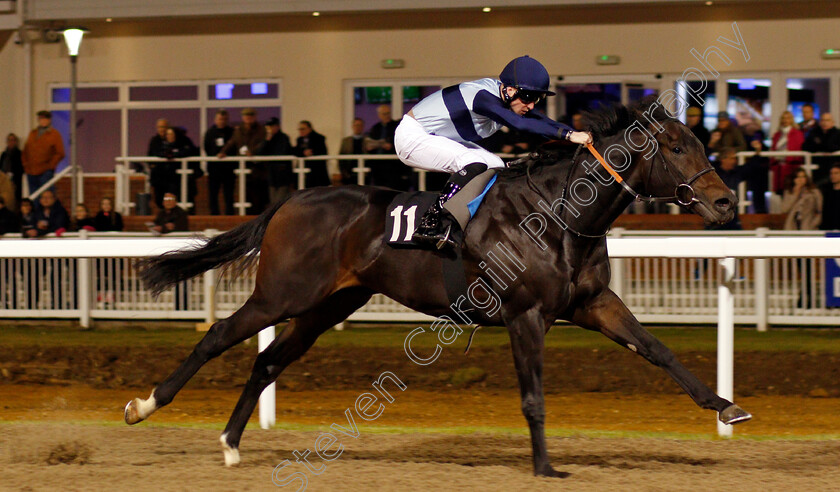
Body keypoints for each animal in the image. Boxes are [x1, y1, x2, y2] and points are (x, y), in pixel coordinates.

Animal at [123, 98, 748, 478]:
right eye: (676, 148)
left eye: (701, 143)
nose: (724, 204)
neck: (560, 213)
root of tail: (292, 199)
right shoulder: (525, 314)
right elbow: (533, 397)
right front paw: (545, 466)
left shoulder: (592, 304)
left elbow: (659, 350)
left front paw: (726, 408)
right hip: (283, 294)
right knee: (218, 336)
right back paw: (145, 405)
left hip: (327, 304)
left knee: (267, 361)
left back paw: (231, 443)